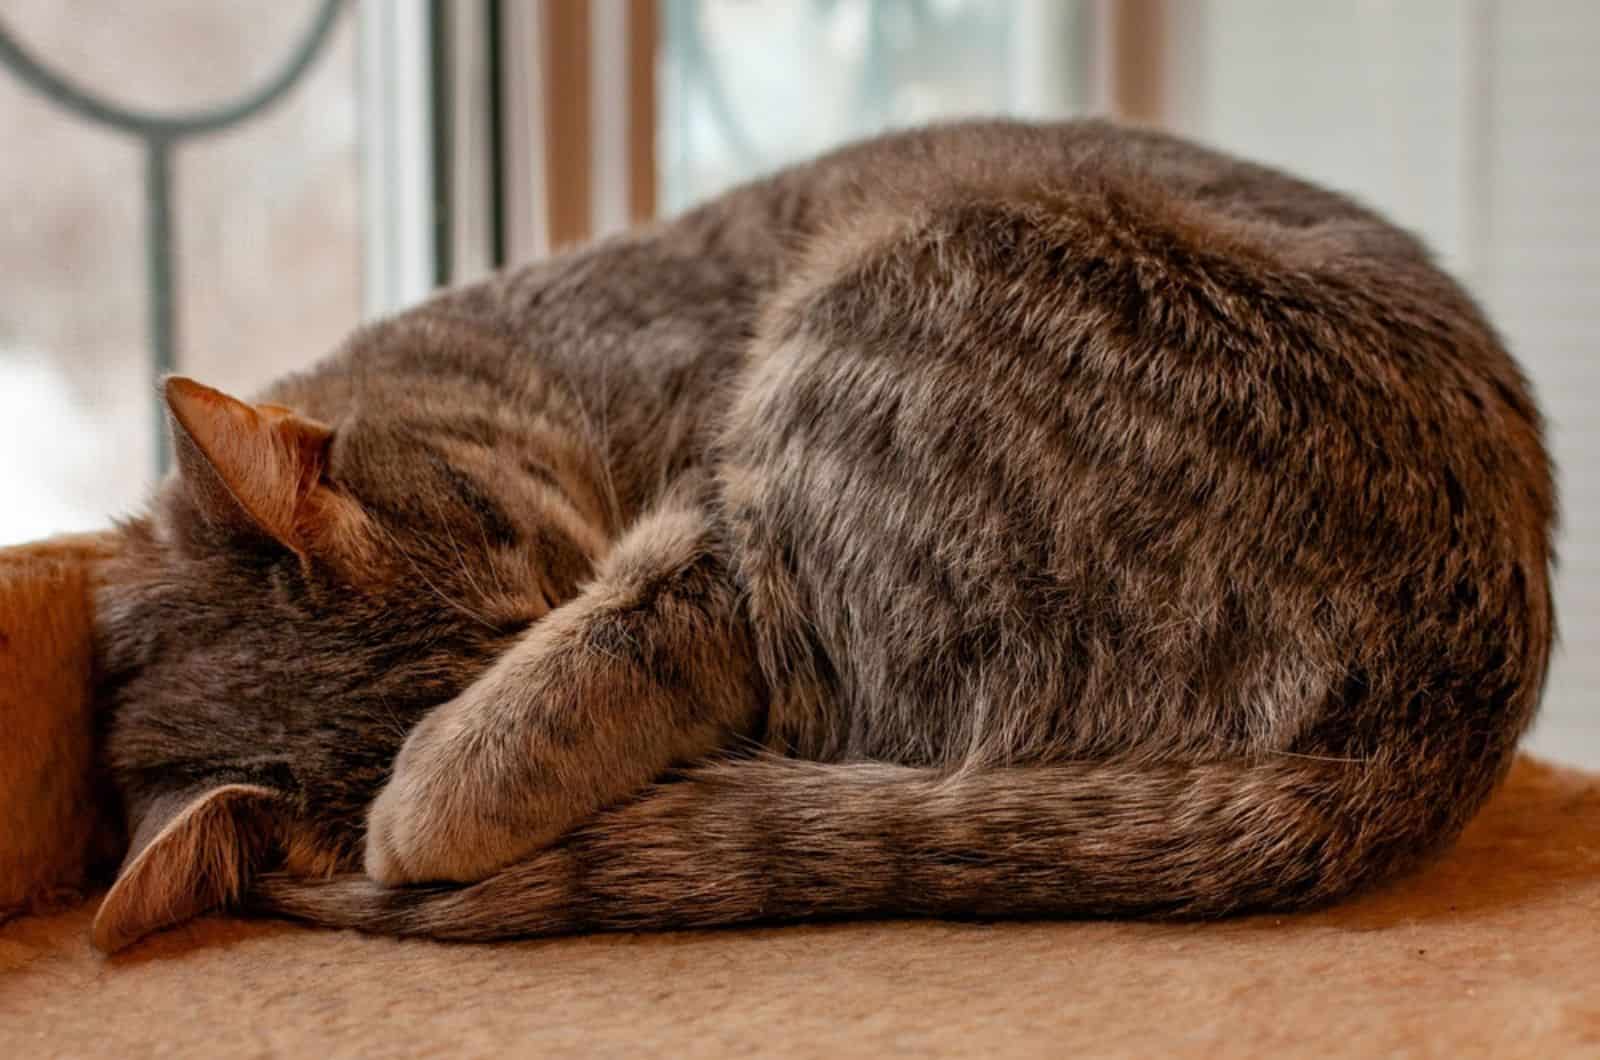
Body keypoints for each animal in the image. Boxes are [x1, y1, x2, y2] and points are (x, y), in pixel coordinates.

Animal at [84, 118, 1548, 954]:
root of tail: (1428, 725)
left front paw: (441, 780)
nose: (552, 605)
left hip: (898, 293)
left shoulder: (705, 522)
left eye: (535, 569)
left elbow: (616, 640)